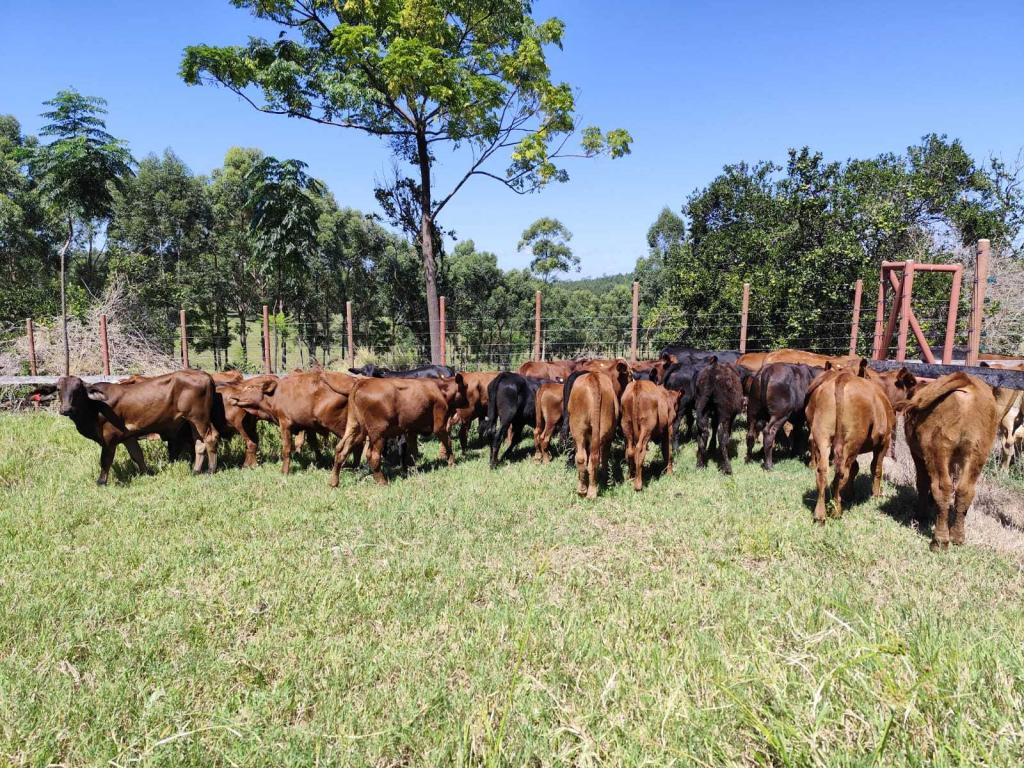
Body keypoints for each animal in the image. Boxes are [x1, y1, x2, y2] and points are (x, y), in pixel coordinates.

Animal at [47, 371, 219, 485]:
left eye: (78, 390)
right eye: (59, 389)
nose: (66, 409)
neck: (94, 407)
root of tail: (206, 375)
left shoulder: (109, 437)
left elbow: (105, 460)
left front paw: (101, 481)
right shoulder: (128, 436)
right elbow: (137, 455)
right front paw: (147, 473)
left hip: (199, 417)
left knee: (210, 438)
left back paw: (211, 469)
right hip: (192, 421)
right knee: (199, 443)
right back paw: (196, 470)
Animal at [329, 375, 466, 485]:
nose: (466, 403)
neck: (440, 389)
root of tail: (362, 382)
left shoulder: (411, 430)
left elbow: (412, 450)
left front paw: (411, 469)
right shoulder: (440, 424)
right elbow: (448, 442)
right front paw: (452, 463)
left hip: (354, 427)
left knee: (340, 450)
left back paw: (334, 482)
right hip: (378, 433)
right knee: (373, 455)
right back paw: (382, 482)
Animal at [902, 373, 999, 550]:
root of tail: (967, 382)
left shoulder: (917, 455)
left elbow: (922, 482)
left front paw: (921, 515)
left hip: (937, 449)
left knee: (942, 488)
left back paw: (940, 540)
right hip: (978, 453)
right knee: (965, 490)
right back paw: (957, 537)